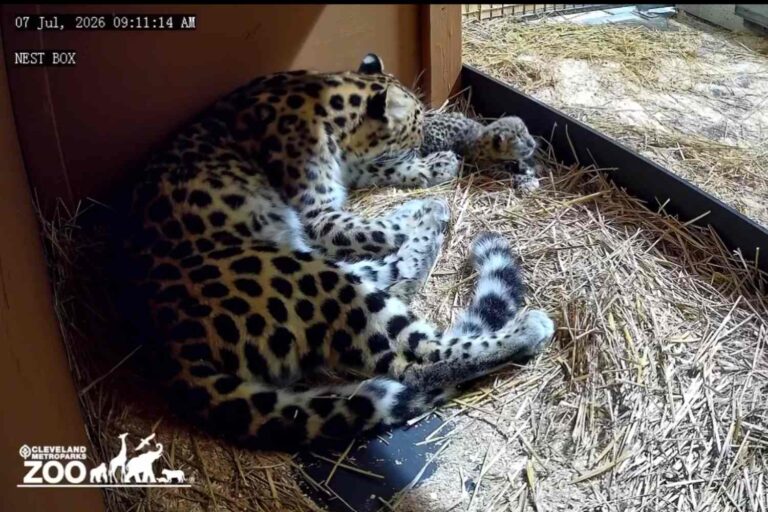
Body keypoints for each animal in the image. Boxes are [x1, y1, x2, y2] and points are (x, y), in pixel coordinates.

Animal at [122, 52, 555, 451]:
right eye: (414, 128)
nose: (424, 141)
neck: (328, 110)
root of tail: (168, 344)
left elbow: (380, 172)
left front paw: (426, 177)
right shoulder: (316, 215)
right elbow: (374, 225)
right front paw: (429, 182)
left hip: (313, 264)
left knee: (391, 280)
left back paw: (427, 223)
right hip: (306, 274)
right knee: (417, 359)